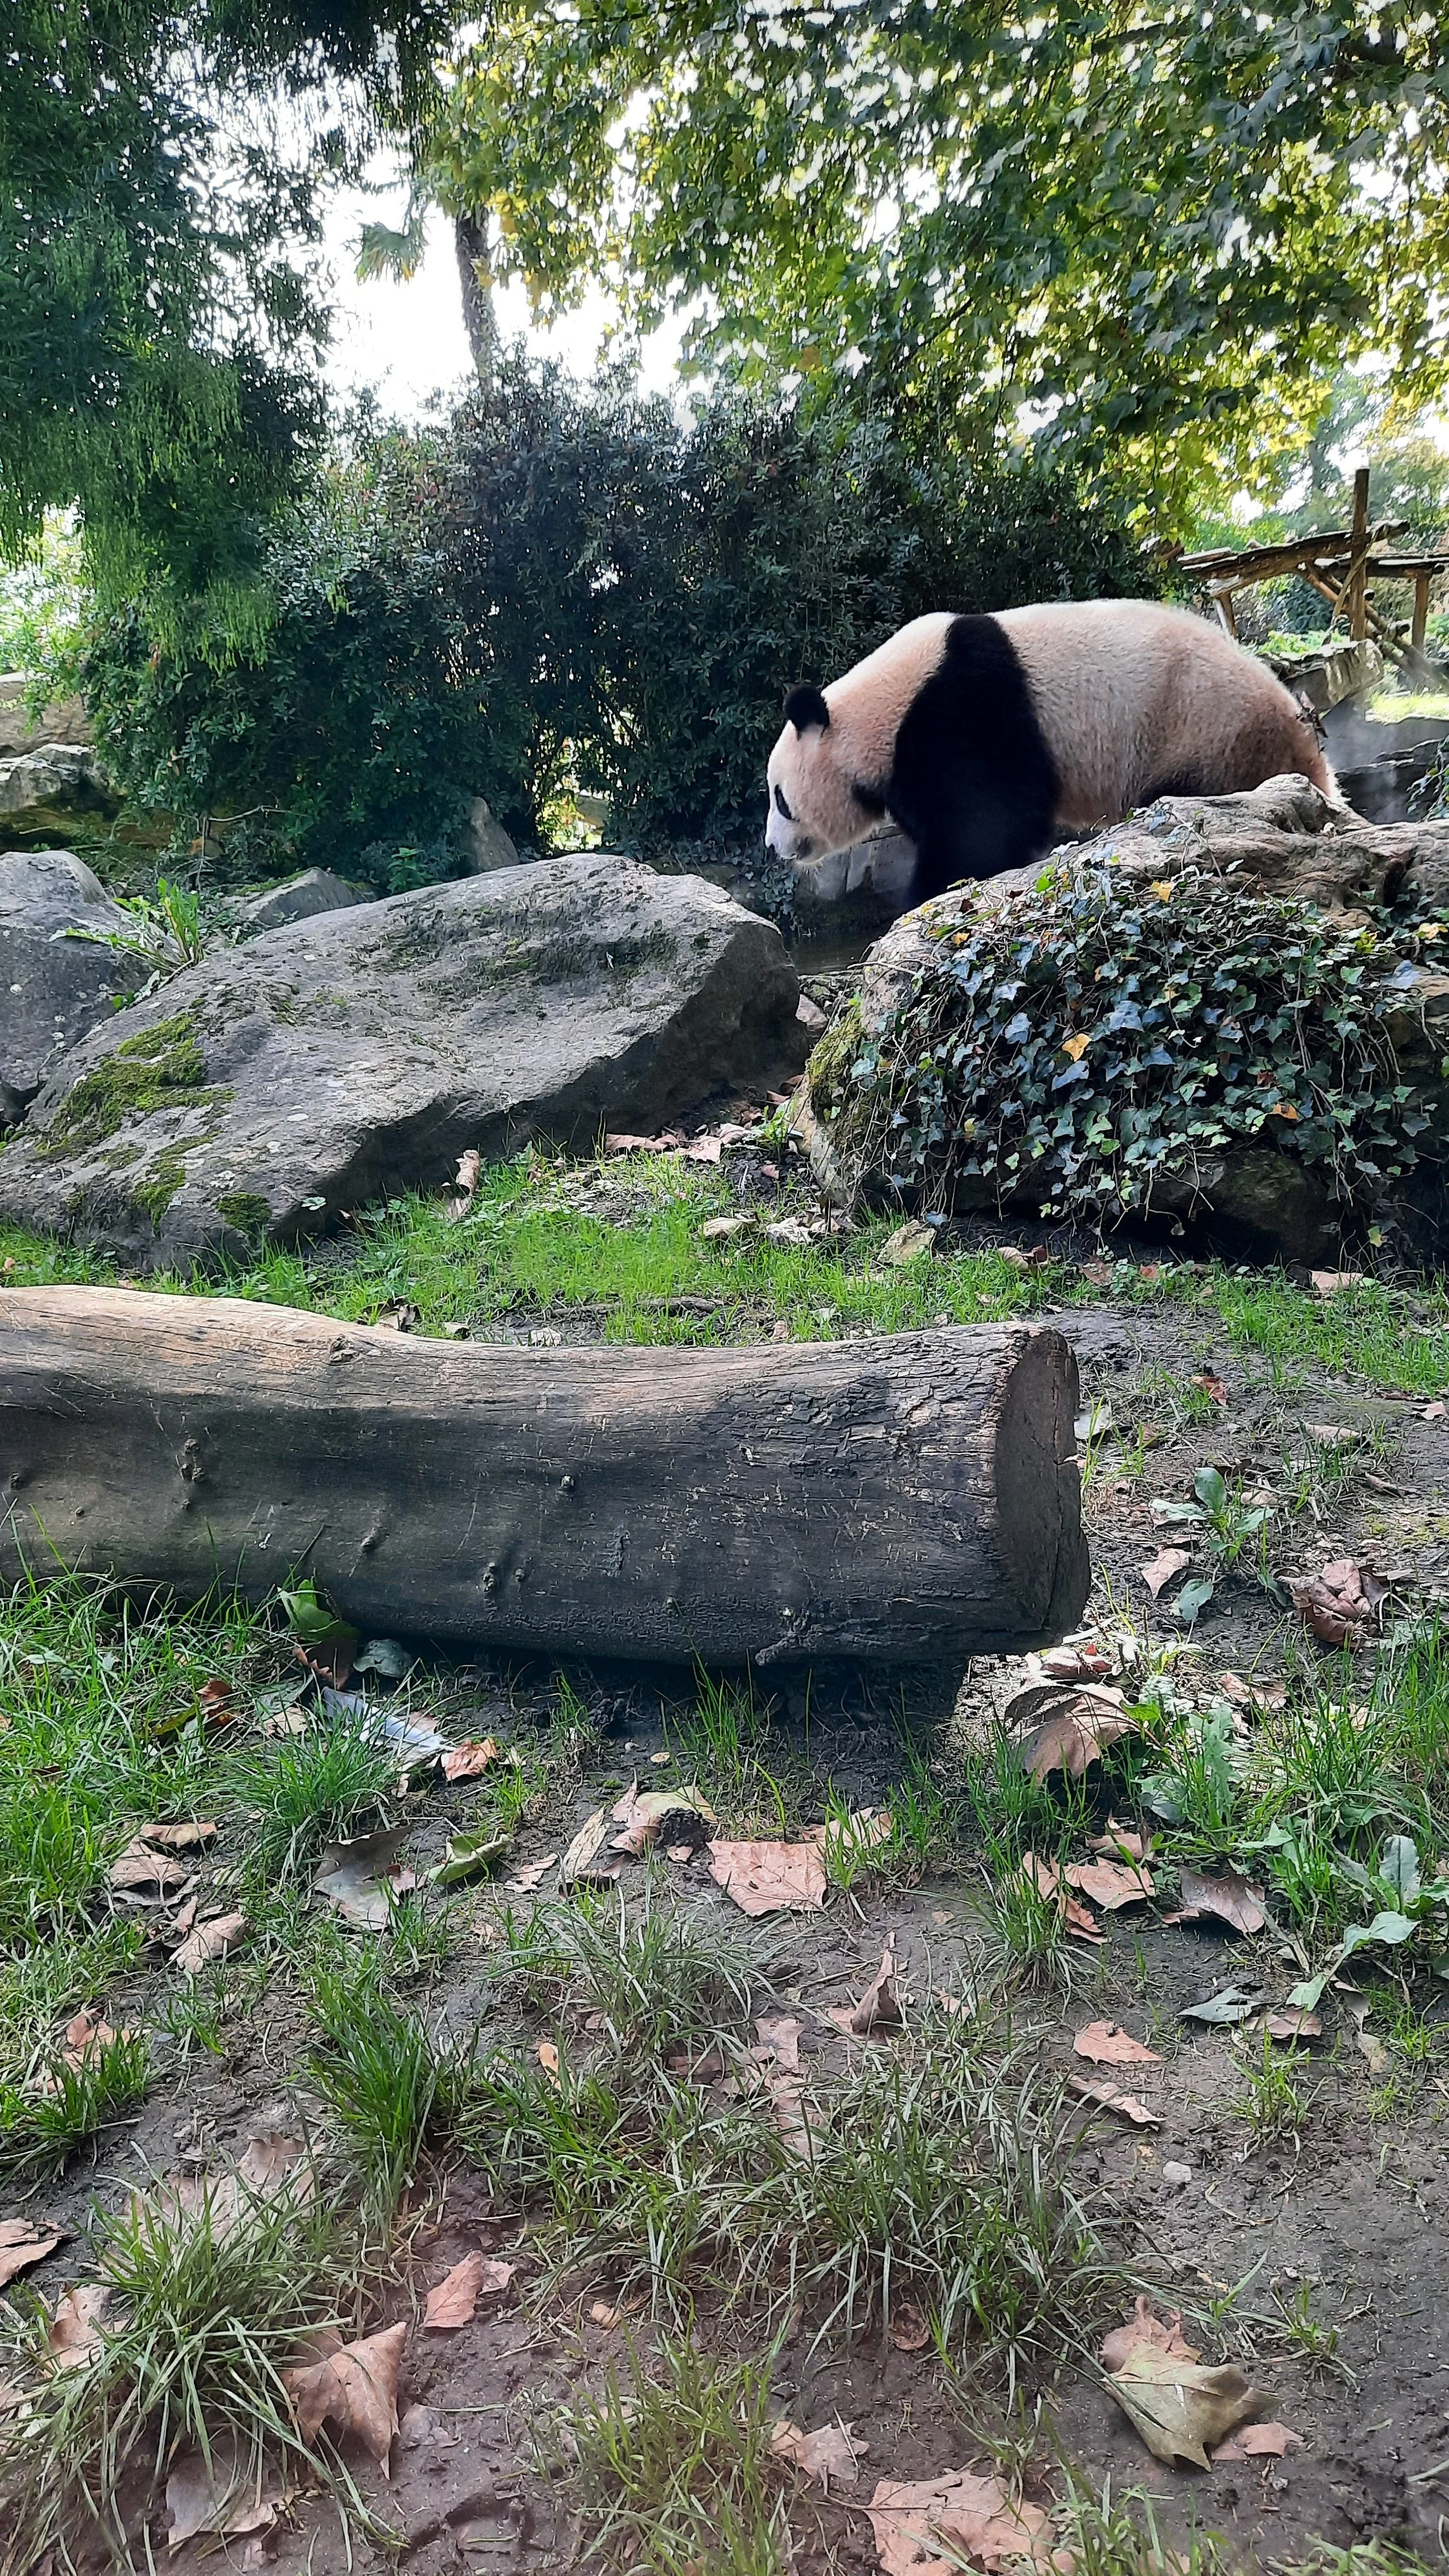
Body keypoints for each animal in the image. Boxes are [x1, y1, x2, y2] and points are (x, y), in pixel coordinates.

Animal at [764, 599, 1337, 909]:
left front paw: (930, 892)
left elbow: (987, 821)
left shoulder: (962, 707)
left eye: (781, 799)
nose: (773, 848)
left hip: (1207, 730)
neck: (880, 709)